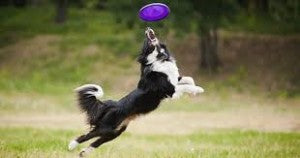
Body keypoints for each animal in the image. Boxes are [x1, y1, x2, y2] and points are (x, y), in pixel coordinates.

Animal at [68, 27, 204, 157]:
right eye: (145, 42)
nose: (147, 28)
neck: (159, 58)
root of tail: (111, 105)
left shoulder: (175, 81)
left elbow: (188, 79)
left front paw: (194, 91)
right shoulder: (170, 90)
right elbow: (184, 87)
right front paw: (198, 90)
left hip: (116, 132)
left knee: (96, 141)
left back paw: (83, 152)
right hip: (107, 127)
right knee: (88, 134)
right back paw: (71, 145)